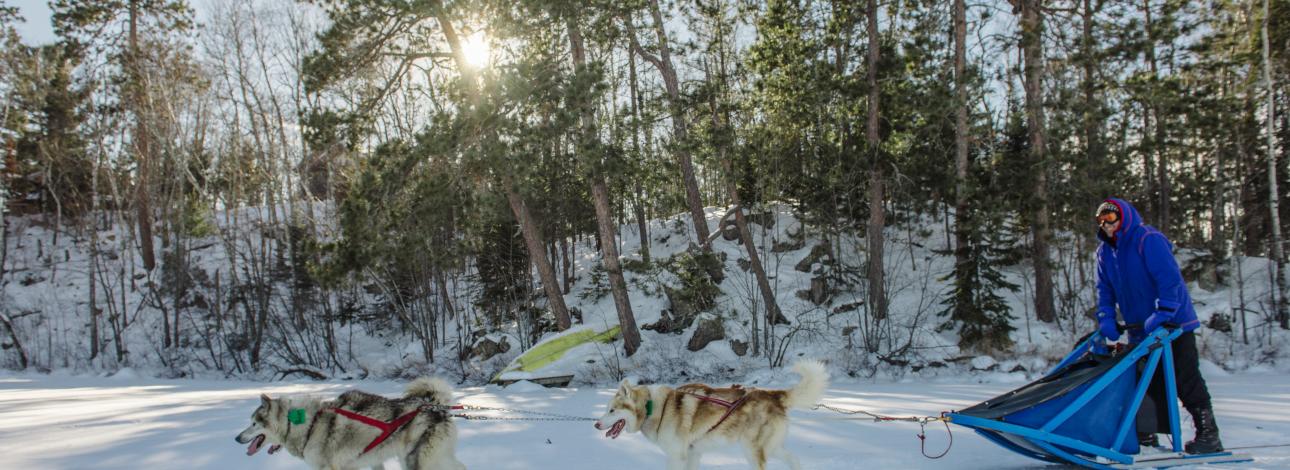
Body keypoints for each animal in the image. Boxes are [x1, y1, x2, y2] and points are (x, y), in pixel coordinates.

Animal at [593, 361, 825, 467]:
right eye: (606, 409)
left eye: (612, 410)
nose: (596, 425)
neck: (652, 407)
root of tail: (774, 394)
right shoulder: (693, 455)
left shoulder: (677, 457)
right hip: (771, 447)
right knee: (794, 460)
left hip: (752, 450)